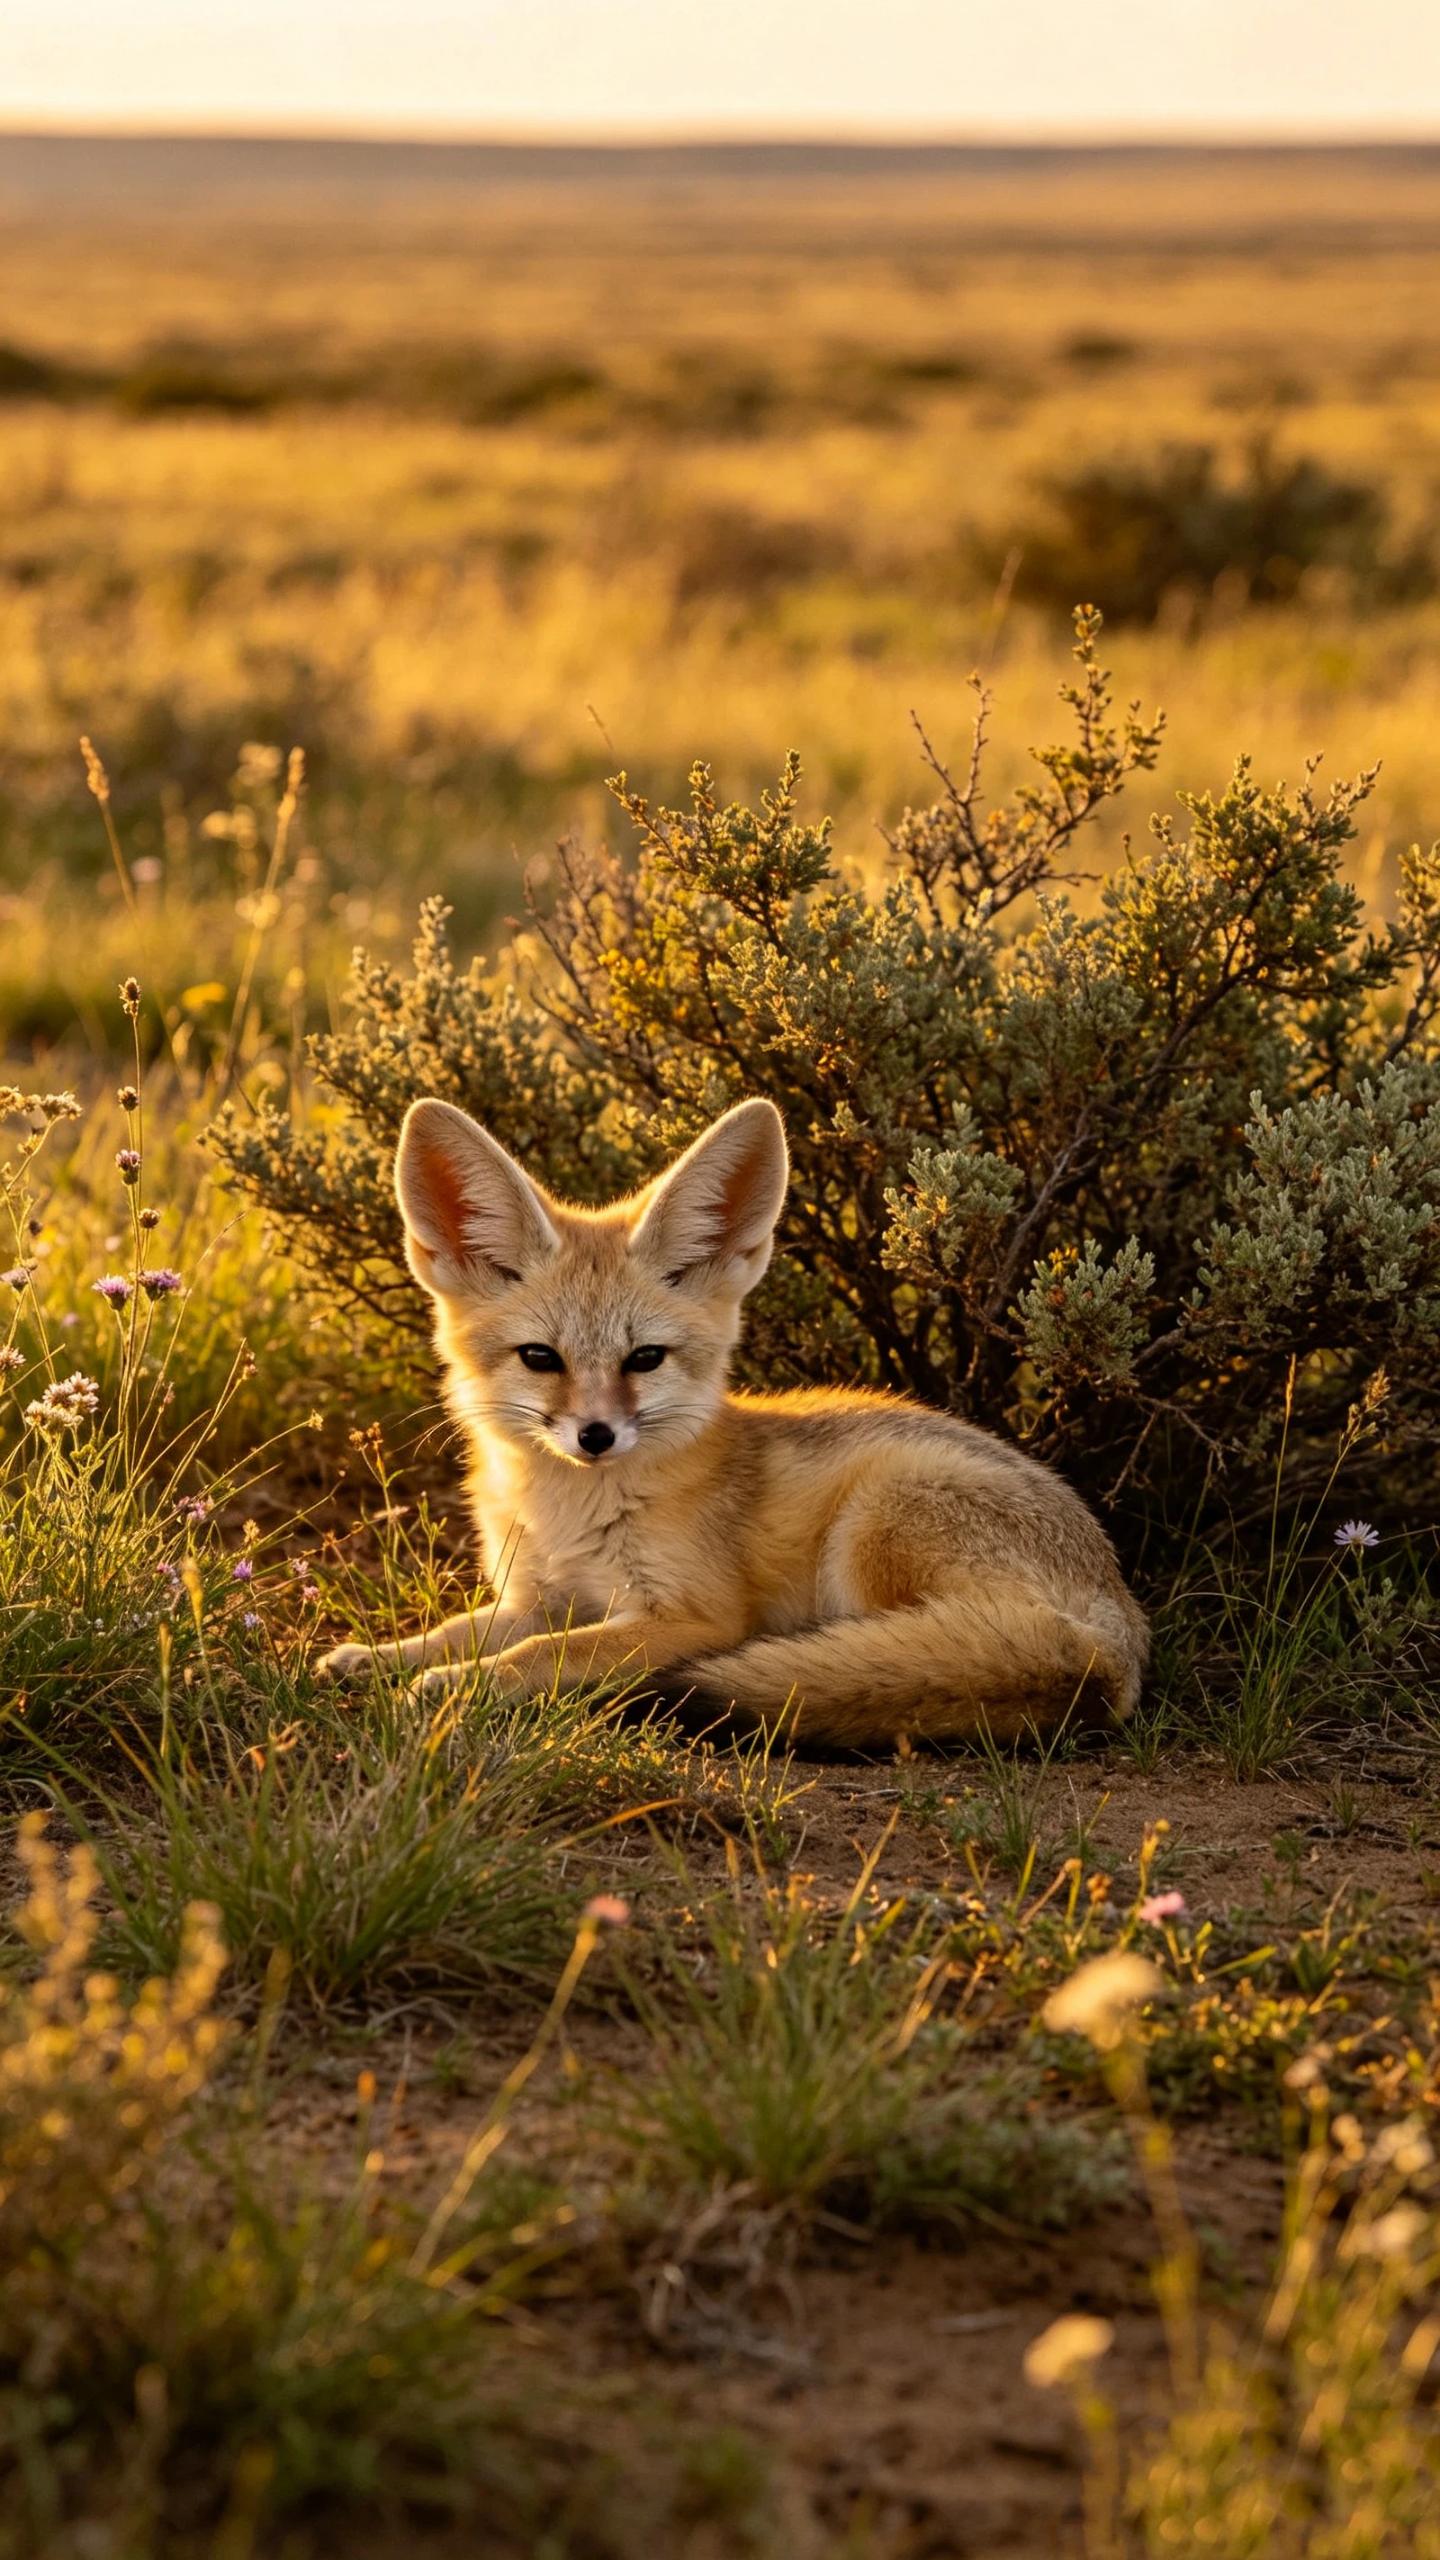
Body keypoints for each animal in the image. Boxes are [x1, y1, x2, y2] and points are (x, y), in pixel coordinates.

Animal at [320, 1095, 1148, 1746]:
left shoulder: (693, 1616)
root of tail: (1119, 1629)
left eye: (645, 1358)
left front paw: (459, 1685)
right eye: (540, 1357)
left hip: (875, 1525)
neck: (569, 1516)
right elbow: (456, 1630)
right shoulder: (537, 1599)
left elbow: (550, 1654)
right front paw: (375, 1657)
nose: (595, 1436)